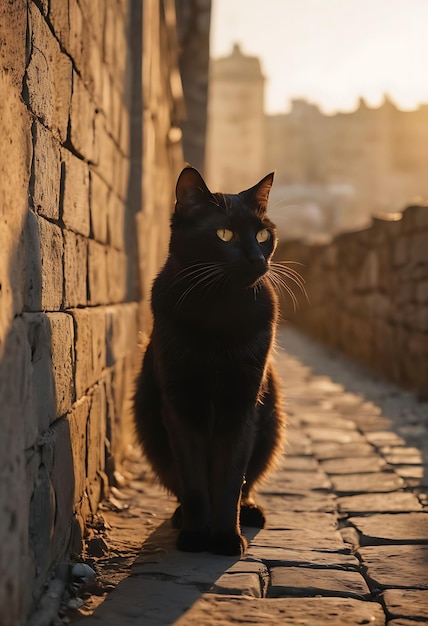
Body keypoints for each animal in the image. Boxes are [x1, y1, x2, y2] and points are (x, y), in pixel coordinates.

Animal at [134, 166, 286, 556]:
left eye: (263, 234)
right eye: (224, 234)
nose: (258, 259)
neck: (219, 309)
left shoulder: (244, 404)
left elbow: (230, 480)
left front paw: (227, 537)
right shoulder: (179, 403)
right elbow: (194, 482)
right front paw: (195, 536)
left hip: (271, 422)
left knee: (247, 485)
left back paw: (251, 512)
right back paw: (181, 518)